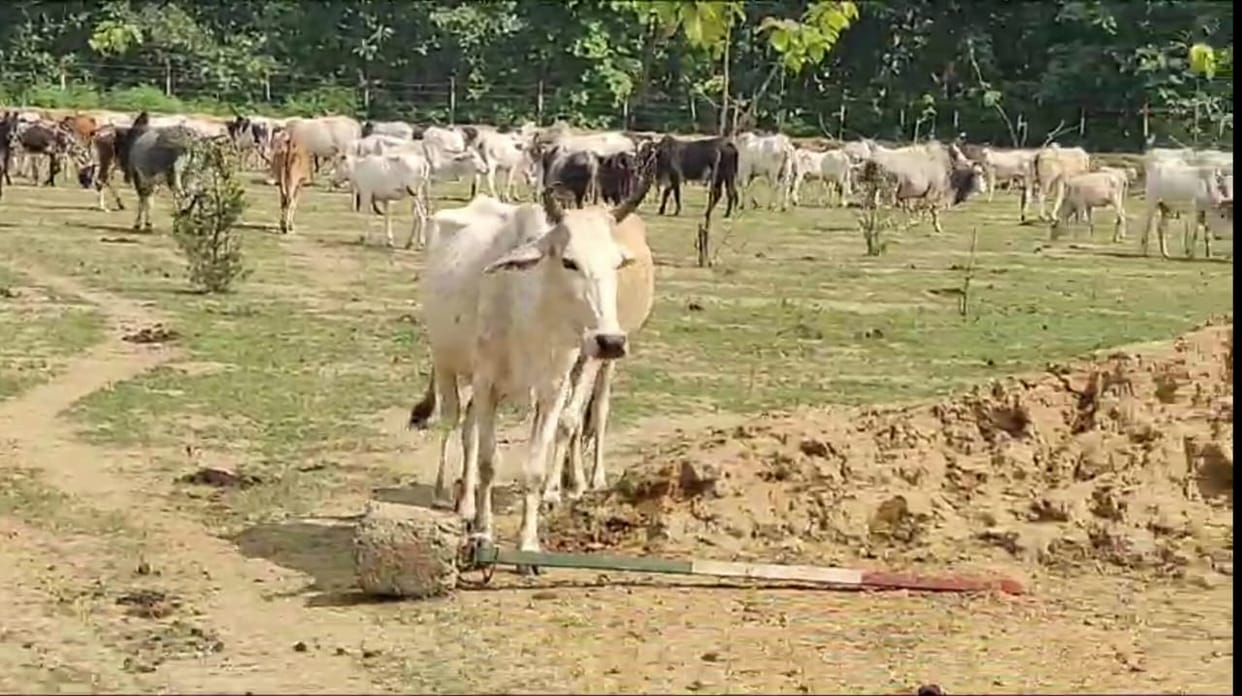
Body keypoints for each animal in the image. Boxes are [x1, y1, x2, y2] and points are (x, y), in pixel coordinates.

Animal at [407, 177, 652, 557]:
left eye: (616, 264)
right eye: (569, 261)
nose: (610, 341)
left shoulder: (552, 391)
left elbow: (535, 465)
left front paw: (529, 542)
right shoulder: (487, 384)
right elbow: (488, 463)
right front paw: (484, 534)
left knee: (469, 430)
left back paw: (468, 504)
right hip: (446, 362)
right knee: (453, 422)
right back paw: (448, 497)